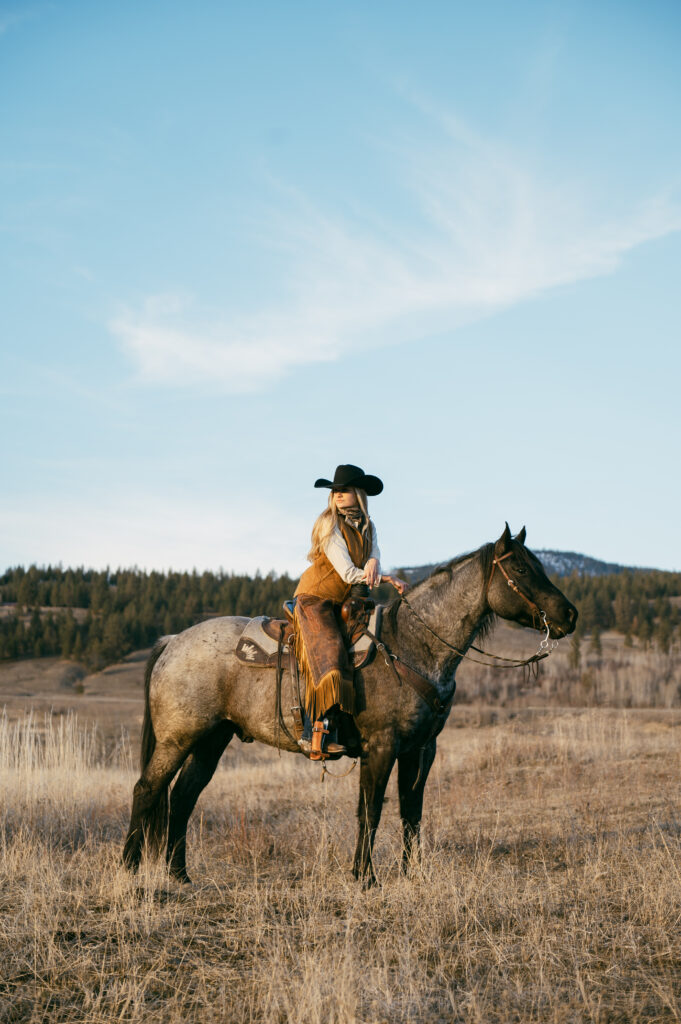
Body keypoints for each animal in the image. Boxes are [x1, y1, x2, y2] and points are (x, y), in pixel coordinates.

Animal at [122, 524, 573, 884]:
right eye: (521, 569)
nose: (570, 614)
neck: (411, 646)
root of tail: (172, 641)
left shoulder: (420, 749)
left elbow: (411, 812)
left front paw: (411, 875)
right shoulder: (382, 746)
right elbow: (370, 810)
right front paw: (364, 877)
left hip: (212, 739)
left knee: (183, 798)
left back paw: (180, 876)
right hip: (178, 738)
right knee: (147, 789)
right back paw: (129, 869)